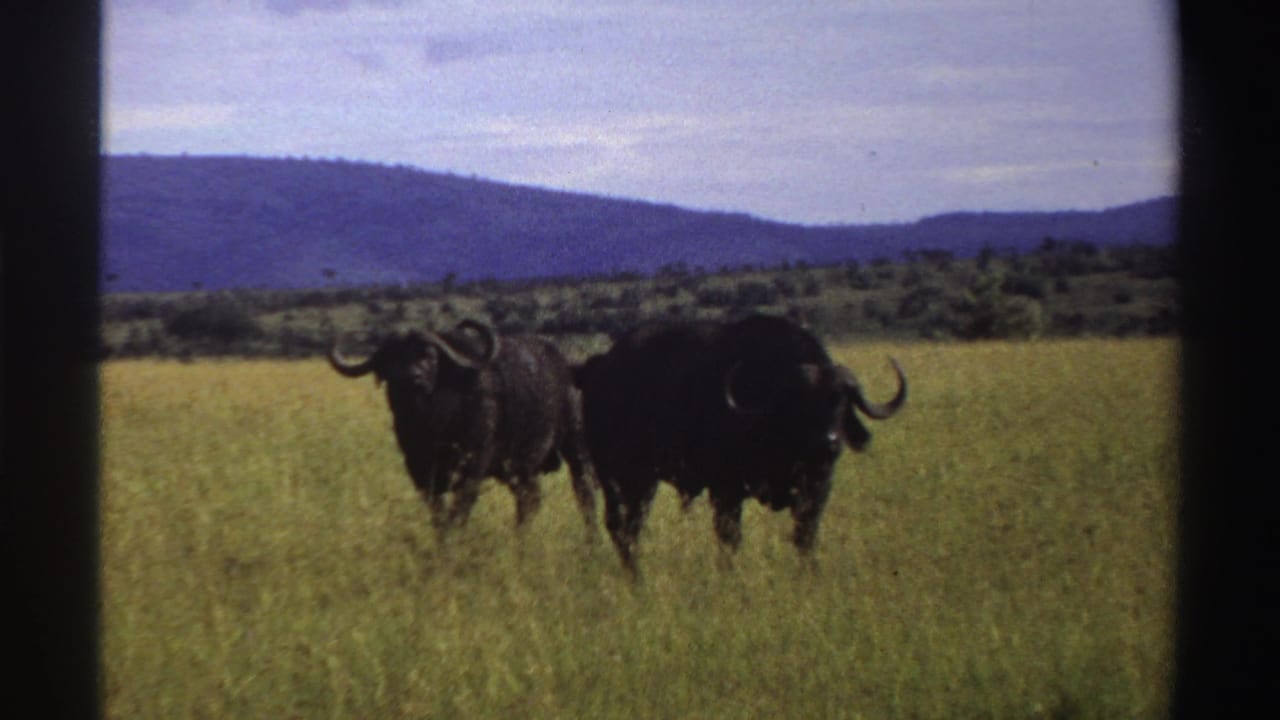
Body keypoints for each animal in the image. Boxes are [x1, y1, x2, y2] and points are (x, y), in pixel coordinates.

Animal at [329, 320, 597, 535]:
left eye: (430, 356)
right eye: (391, 359)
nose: (412, 378)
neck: (433, 423)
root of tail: (570, 368)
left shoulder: (472, 468)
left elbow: (458, 513)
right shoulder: (420, 471)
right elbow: (439, 516)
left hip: (576, 448)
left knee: (585, 495)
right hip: (521, 467)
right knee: (529, 500)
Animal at [573, 314, 906, 575]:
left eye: (842, 402)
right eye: (801, 403)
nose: (829, 444)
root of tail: (599, 368)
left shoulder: (816, 489)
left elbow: (805, 537)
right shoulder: (726, 491)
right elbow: (730, 539)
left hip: (637, 482)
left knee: (629, 528)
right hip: (622, 476)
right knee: (622, 528)